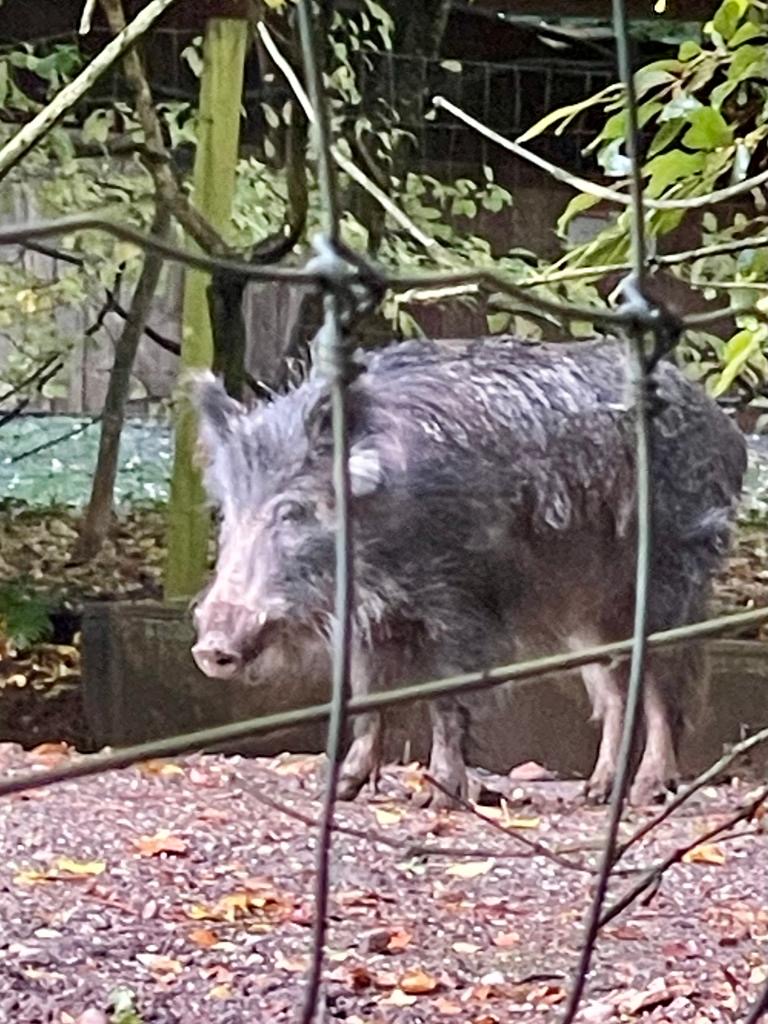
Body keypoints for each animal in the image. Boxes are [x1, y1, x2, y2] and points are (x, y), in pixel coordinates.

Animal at [190, 336, 746, 808]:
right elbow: (367, 697)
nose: (210, 648)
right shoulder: (370, 616)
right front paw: (342, 788)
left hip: (670, 576)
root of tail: (726, 429)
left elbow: (446, 699)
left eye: (293, 511)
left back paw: (648, 792)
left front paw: (440, 796)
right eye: (227, 511)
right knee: (614, 691)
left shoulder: (460, 601)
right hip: (588, 610)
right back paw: (595, 793)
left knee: (664, 683)